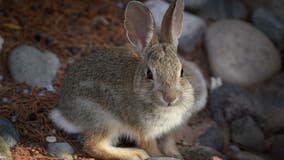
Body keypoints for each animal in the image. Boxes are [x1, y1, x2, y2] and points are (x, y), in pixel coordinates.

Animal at [50, 0, 207, 159]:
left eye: (182, 72)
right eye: (149, 74)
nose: (170, 98)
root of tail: (65, 112)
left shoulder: (171, 130)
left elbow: (169, 143)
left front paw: (176, 154)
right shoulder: (144, 132)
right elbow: (151, 148)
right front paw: (158, 155)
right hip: (104, 119)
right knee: (93, 146)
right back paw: (135, 154)